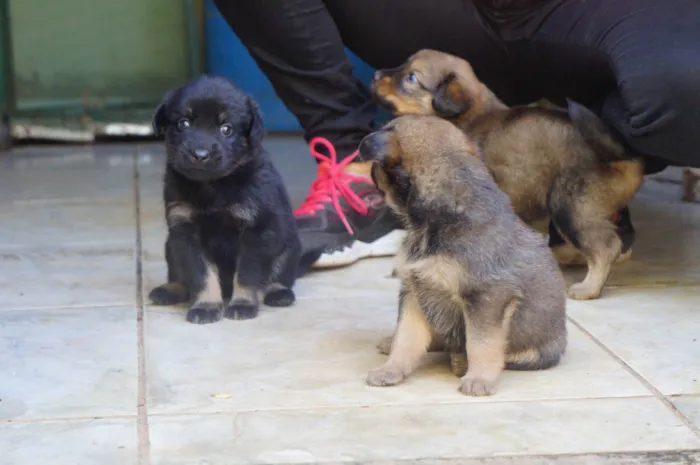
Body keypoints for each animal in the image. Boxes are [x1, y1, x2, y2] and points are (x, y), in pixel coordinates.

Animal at [148, 75, 300, 322]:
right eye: (183, 124)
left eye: (226, 129)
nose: (200, 155)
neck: (212, 186)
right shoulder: (186, 231)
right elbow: (201, 274)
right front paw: (206, 306)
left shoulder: (256, 230)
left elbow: (247, 274)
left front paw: (243, 304)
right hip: (171, 245)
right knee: (180, 276)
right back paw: (169, 290)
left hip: (289, 246)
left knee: (278, 276)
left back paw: (279, 293)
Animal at [358, 115, 568, 396]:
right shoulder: (415, 291)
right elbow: (406, 338)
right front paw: (390, 370)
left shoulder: (486, 298)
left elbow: (482, 344)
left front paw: (478, 379)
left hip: (536, 351)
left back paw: (461, 362)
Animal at [372, 49, 644, 300]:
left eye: (411, 78)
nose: (375, 74)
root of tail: (623, 160)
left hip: (571, 206)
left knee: (605, 247)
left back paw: (588, 287)